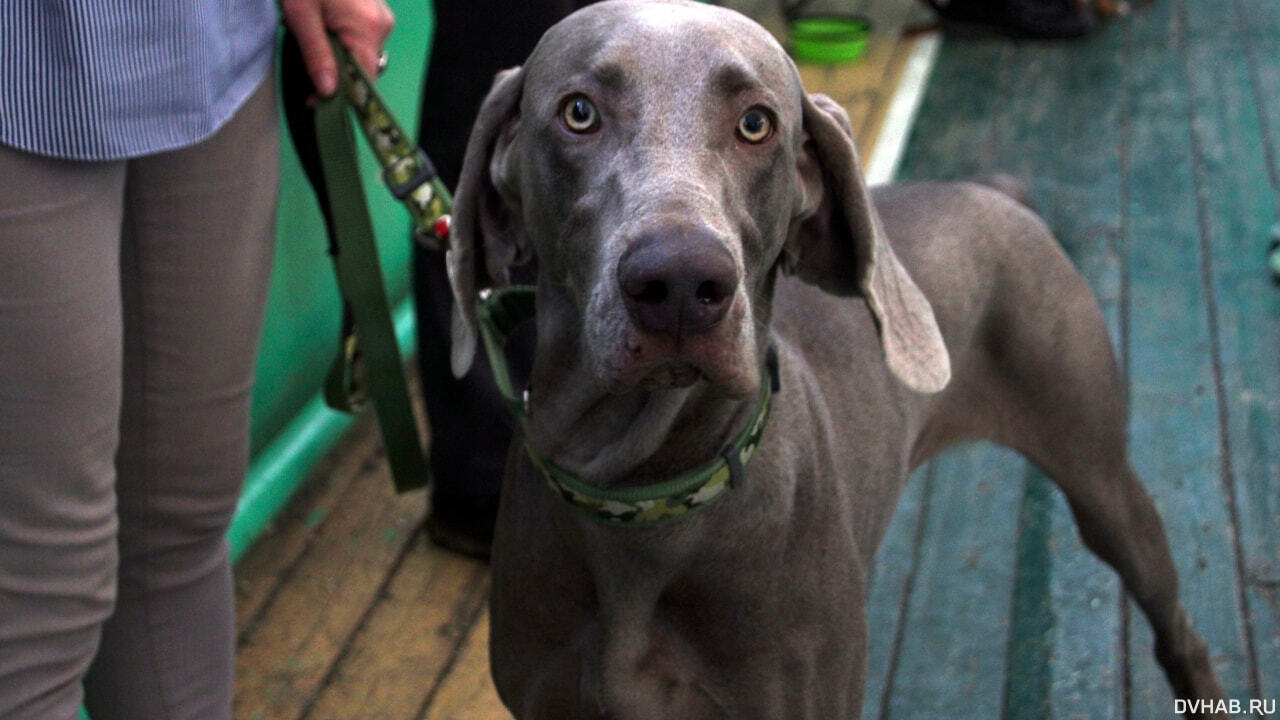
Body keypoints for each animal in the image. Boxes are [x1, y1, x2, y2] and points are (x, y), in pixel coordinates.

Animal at [445, 2, 1223, 712]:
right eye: (578, 112)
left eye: (757, 123)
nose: (680, 283)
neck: (645, 497)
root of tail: (994, 194)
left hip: (1102, 478)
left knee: (1178, 625)